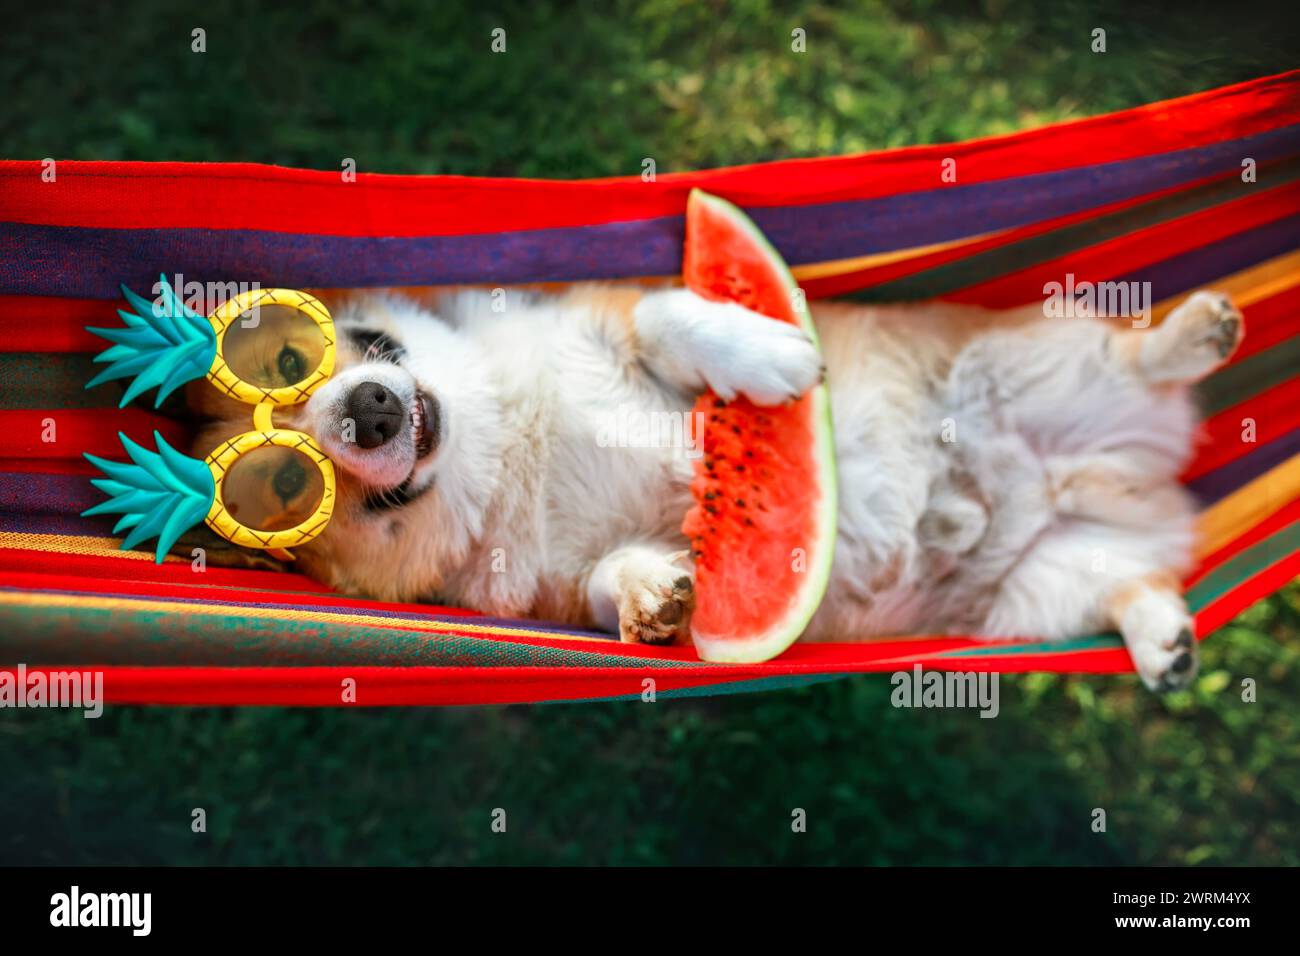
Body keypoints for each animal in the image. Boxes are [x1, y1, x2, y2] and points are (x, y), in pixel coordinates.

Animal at [189, 280, 1237, 691]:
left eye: (308, 353)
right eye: (288, 484)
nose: (367, 408)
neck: (507, 446)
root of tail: (1145, 488)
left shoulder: (620, 324)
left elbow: (672, 318)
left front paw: (773, 357)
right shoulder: (553, 592)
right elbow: (614, 582)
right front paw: (652, 596)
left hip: (1023, 367)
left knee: (1135, 359)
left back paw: (1199, 331)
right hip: (1044, 587)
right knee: (1129, 585)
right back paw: (1165, 642)